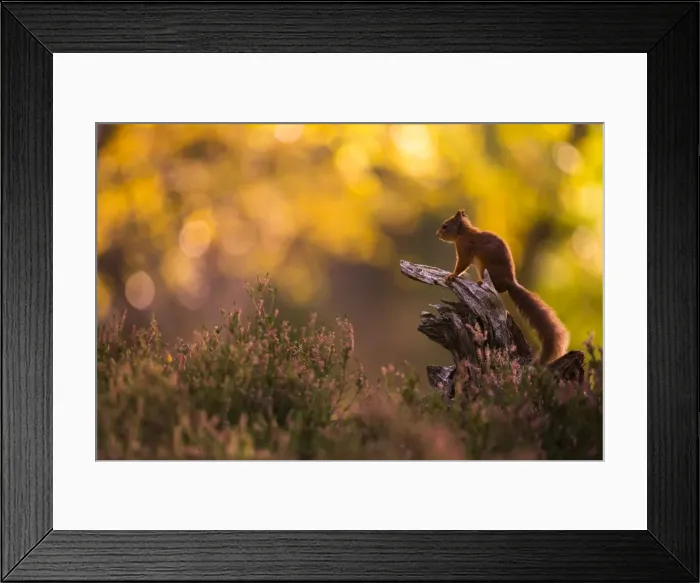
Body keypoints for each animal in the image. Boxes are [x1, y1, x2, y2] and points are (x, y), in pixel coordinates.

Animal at [436, 209, 569, 364]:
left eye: (445, 226)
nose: (437, 234)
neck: (463, 233)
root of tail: (509, 282)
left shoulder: (465, 249)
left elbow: (462, 265)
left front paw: (452, 275)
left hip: (485, 267)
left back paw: (480, 283)